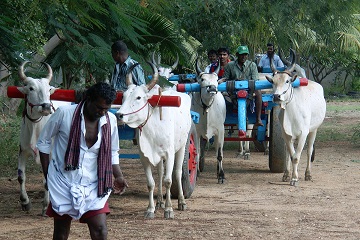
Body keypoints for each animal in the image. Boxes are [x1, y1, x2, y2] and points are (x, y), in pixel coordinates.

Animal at [16, 61, 57, 215]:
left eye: (49, 89)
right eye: (31, 88)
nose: (46, 107)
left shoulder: (49, 154)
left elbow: (47, 180)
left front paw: (46, 206)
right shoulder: (23, 151)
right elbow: (21, 176)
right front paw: (25, 202)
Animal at [116, 62, 193, 219]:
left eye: (139, 97)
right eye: (124, 96)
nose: (119, 115)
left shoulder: (169, 154)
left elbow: (168, 180)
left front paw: (169, 209)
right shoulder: (144, 156)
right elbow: (151, 183)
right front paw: (150, 209)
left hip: (182, 146)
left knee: (177, 173)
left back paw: (181, 201)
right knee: (160, 173)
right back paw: (159, 202)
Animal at [264, 48, 326, 186]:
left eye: (287, 81)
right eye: (273, 81)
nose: (276, 96)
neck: (292, 112)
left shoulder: (303, 133)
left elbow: (297, 157)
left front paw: (294, 178)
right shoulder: (286, 133)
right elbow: (291, 155)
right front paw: (290, 176)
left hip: (314, 130)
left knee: (309, 150)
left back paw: (308, 174)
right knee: (288, 152)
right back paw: (286, 174)